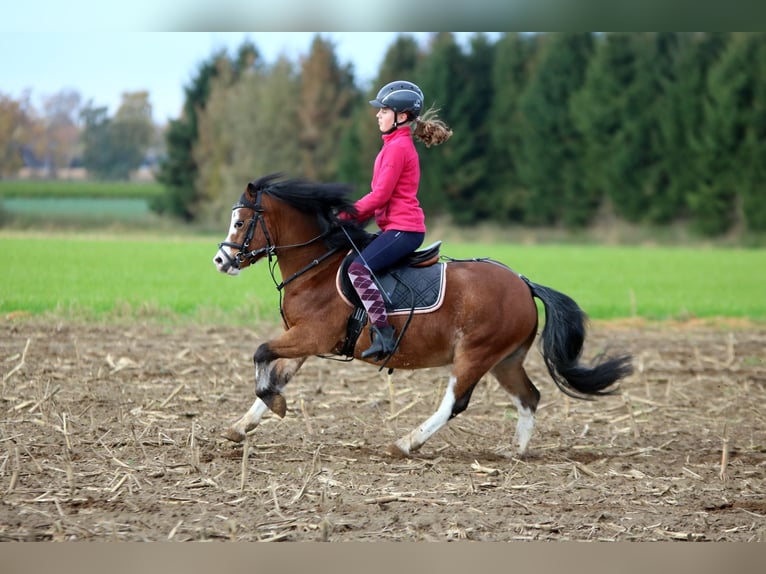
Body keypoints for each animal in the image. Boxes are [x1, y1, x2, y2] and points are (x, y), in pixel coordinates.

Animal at [213, 174, 633, 457]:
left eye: (240, 222)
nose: (220, 260)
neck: (316, 266)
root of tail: (524, 284)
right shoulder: (303, 341)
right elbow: (275, 373)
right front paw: (243, 425)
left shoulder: (312, 335)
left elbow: (261, 353)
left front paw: (273, 405)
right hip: (505, 360)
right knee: (529, 396)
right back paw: (515, 452)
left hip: (475, 353)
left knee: (455, 402)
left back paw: (406, 443)